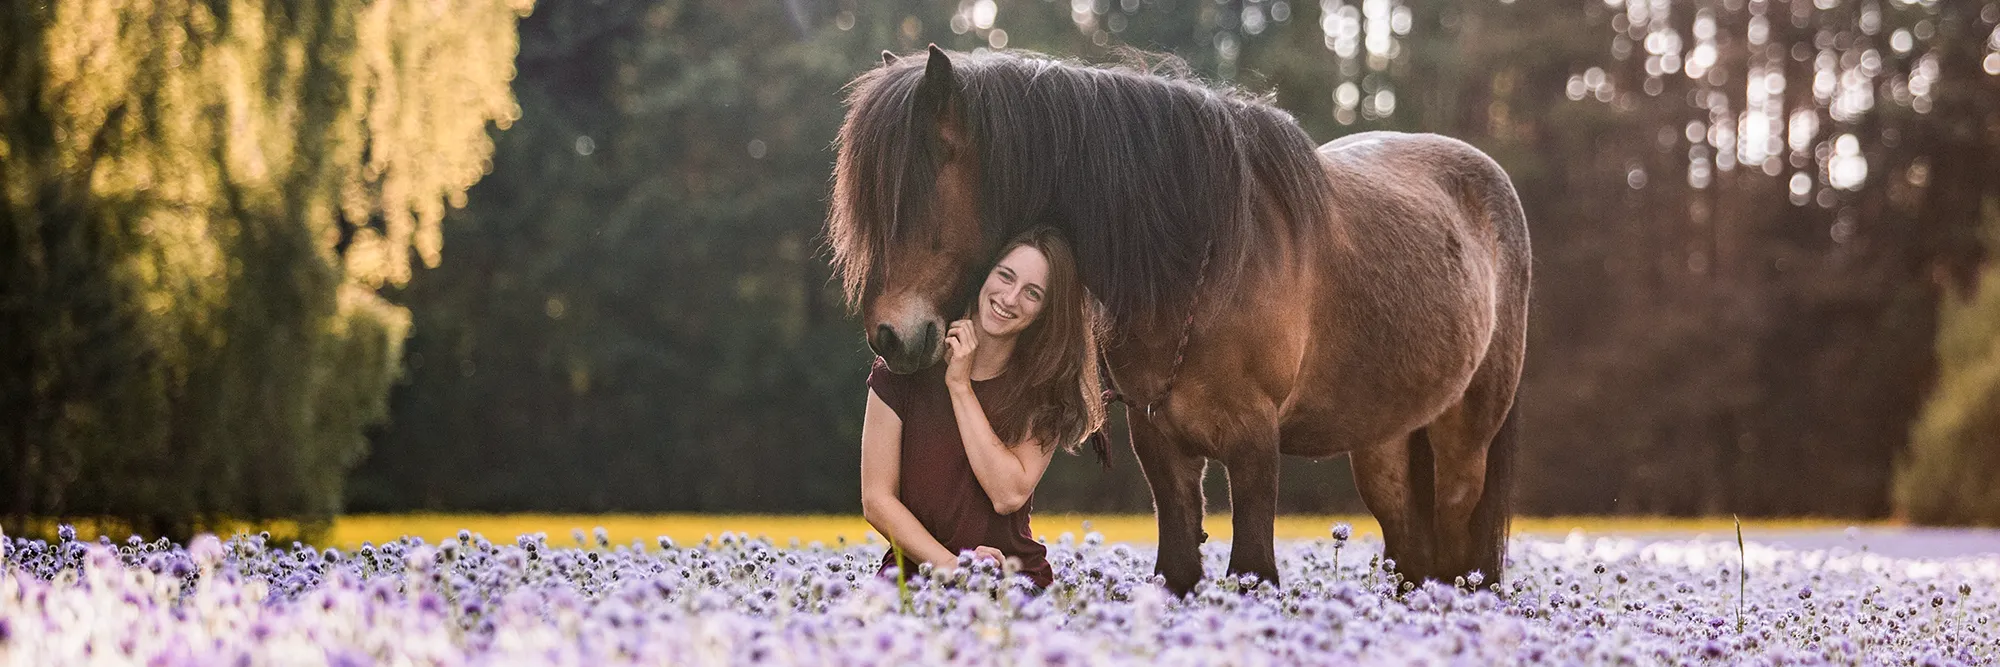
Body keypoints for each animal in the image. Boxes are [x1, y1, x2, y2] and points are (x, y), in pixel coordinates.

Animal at [827, 45, 1530, 596]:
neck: (1201, 260)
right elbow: (1179, 571)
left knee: (1456, 548)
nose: (890, 337)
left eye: (916, 194)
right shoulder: (1160, 441)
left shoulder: (1254, 443)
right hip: (1383, 441)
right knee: (1411, 554)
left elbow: (1252, 572)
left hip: (1464, 437)